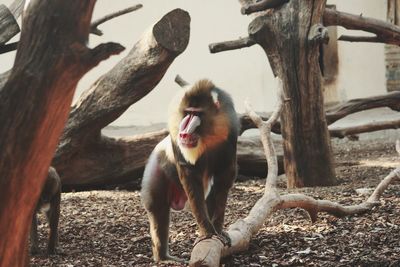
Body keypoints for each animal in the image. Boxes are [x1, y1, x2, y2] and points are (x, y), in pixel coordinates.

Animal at [142, 79, 239, 262]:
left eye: (197, 114)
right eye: (187, 113)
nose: (184, 134)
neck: (208, 136)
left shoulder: (230, 135)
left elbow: (223, 183)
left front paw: (218, 230)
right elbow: (190, 178)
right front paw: (207, 232)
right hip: (156, 171)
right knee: (159, 211)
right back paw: (164, 257)